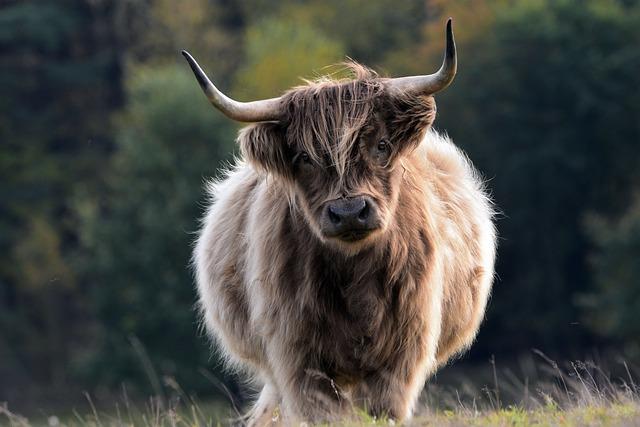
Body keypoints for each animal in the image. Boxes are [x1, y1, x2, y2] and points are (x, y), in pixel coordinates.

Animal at [185, 19, 496, 424]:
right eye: (304, 158)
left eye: (381, 145)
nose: (349, 212)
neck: (355, 279)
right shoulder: (298, 358)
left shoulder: (400, 360)